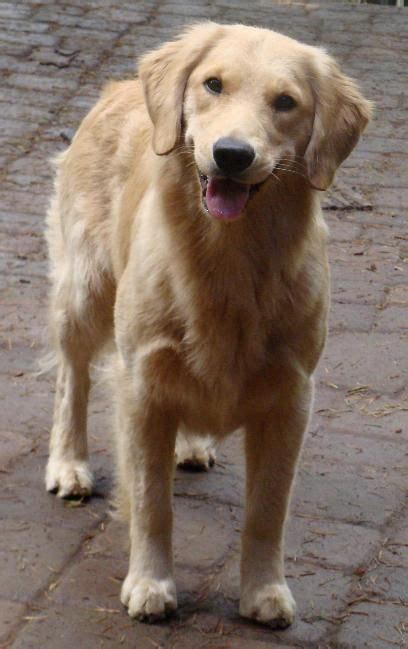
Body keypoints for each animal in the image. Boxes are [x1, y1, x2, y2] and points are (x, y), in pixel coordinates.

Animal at [45, 22, 372, 624]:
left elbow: (267, 511)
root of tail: (120, 86)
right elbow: (152, 503)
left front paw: (264, 592)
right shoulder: (141, 384)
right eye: (213, 84)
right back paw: (68, 464)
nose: (232, 155)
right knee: (71, 378)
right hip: (85, 288)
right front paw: (150, 583)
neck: (228, 259)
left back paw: (191, 444)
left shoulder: (292, 396)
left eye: (286, 102)